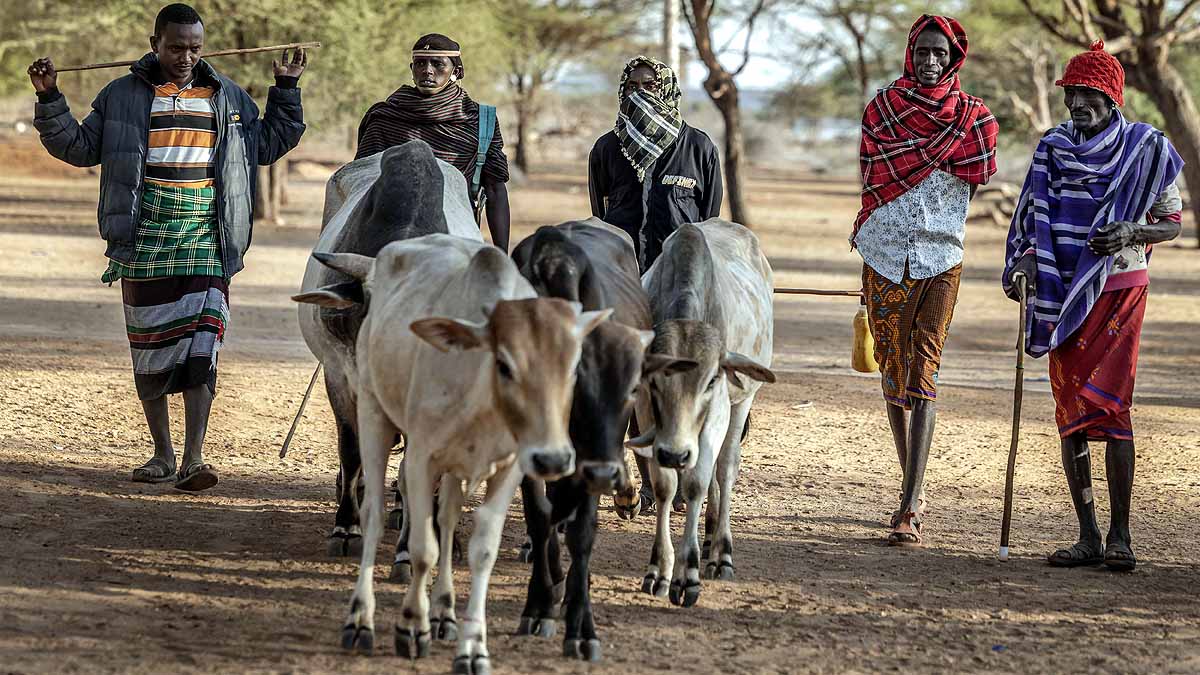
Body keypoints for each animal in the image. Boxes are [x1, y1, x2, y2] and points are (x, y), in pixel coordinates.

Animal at [294, 233, 610, 672]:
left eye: (571, 366)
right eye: (505, 363)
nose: (555, 459)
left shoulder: (507, 468)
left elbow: (480, 547)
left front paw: (471, 647)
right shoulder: (421, 454)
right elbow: (421, 546)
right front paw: (411, 625)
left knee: (445, 518)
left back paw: (443, 613)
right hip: (373, 412)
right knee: (373, 512)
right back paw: (361, 618)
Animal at [628, 218, 775, 608]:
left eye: (710, 380)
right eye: (655, 382)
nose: (676, 453)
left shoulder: (719, 408)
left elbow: (695, 483)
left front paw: (688, 574)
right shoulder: (649, 414)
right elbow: (666, 485)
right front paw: (659, 571)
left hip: (741, 403)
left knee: (724, 469)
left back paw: (720, 552)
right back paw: (708, 540)